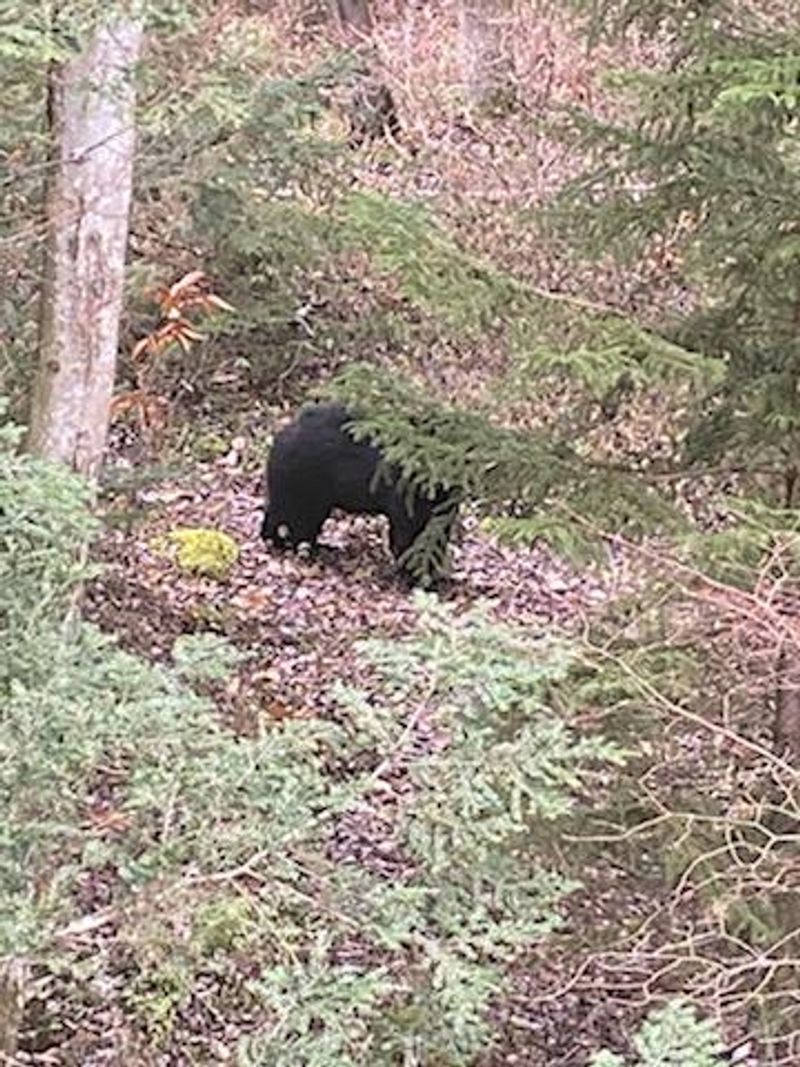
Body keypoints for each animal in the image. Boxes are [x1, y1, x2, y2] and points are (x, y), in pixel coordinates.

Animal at [261, 403, 458, 582]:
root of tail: (280, 437)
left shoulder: (443, 506)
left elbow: (436, 532)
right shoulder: (405, 495)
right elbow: (409, 531)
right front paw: (413, 573)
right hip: (301, 483)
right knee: (293, 517)